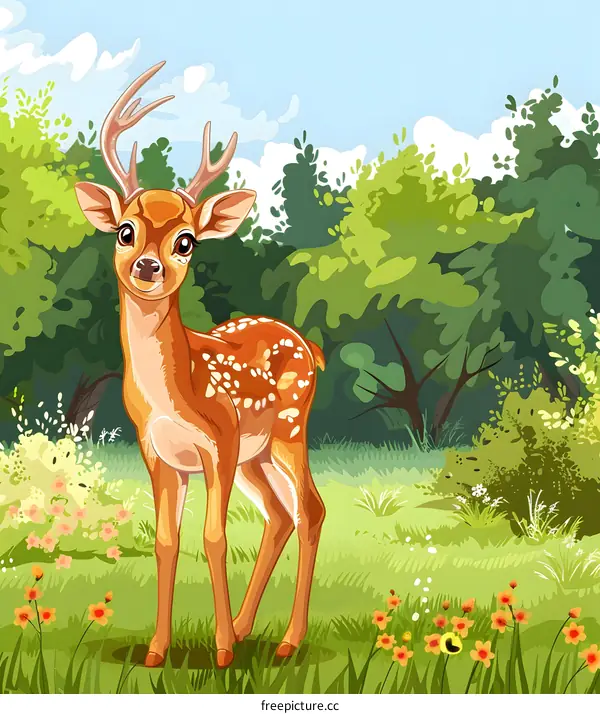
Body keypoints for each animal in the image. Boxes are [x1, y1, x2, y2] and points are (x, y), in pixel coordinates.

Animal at [73, 62, 326, 669]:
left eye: (187, 241)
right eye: (126, 230)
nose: (148, 265)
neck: (176, 394)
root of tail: (310, 348)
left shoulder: (221, 442)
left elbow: (214, 537)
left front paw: (222, 654)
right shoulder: (158, 451)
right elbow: (167, 540)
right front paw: (157, 652)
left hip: (287, 430)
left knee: (310, 510)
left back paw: (283, 641)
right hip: (259, 455)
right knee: (279, 515)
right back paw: (247, 627)